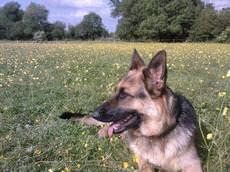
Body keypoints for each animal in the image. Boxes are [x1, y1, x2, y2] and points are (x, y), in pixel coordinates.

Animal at [60, 49, 202, 171]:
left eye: (123, 95)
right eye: (115, 91)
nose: (93, 114)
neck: (157, 134)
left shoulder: (193, 164)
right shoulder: (143, 161)